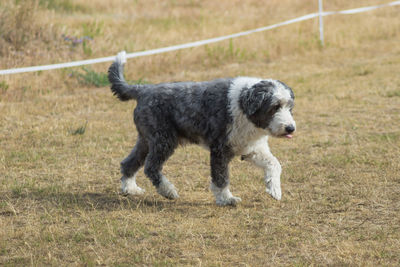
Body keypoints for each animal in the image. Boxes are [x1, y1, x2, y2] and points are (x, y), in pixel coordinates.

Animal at [108, 51, 296, 207]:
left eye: (289, 107)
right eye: (275, 106)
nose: (290, 128)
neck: (243, 105)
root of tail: (144, 90)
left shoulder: (251, 147)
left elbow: (274, 163)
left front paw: (274, 190)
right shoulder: (220, 149)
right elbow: (221, 177)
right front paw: (226, 199)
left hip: (147, 139)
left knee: (129, 162)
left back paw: (130, 188)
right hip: (163, 140)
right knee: (151, 167)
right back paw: (168, 191)